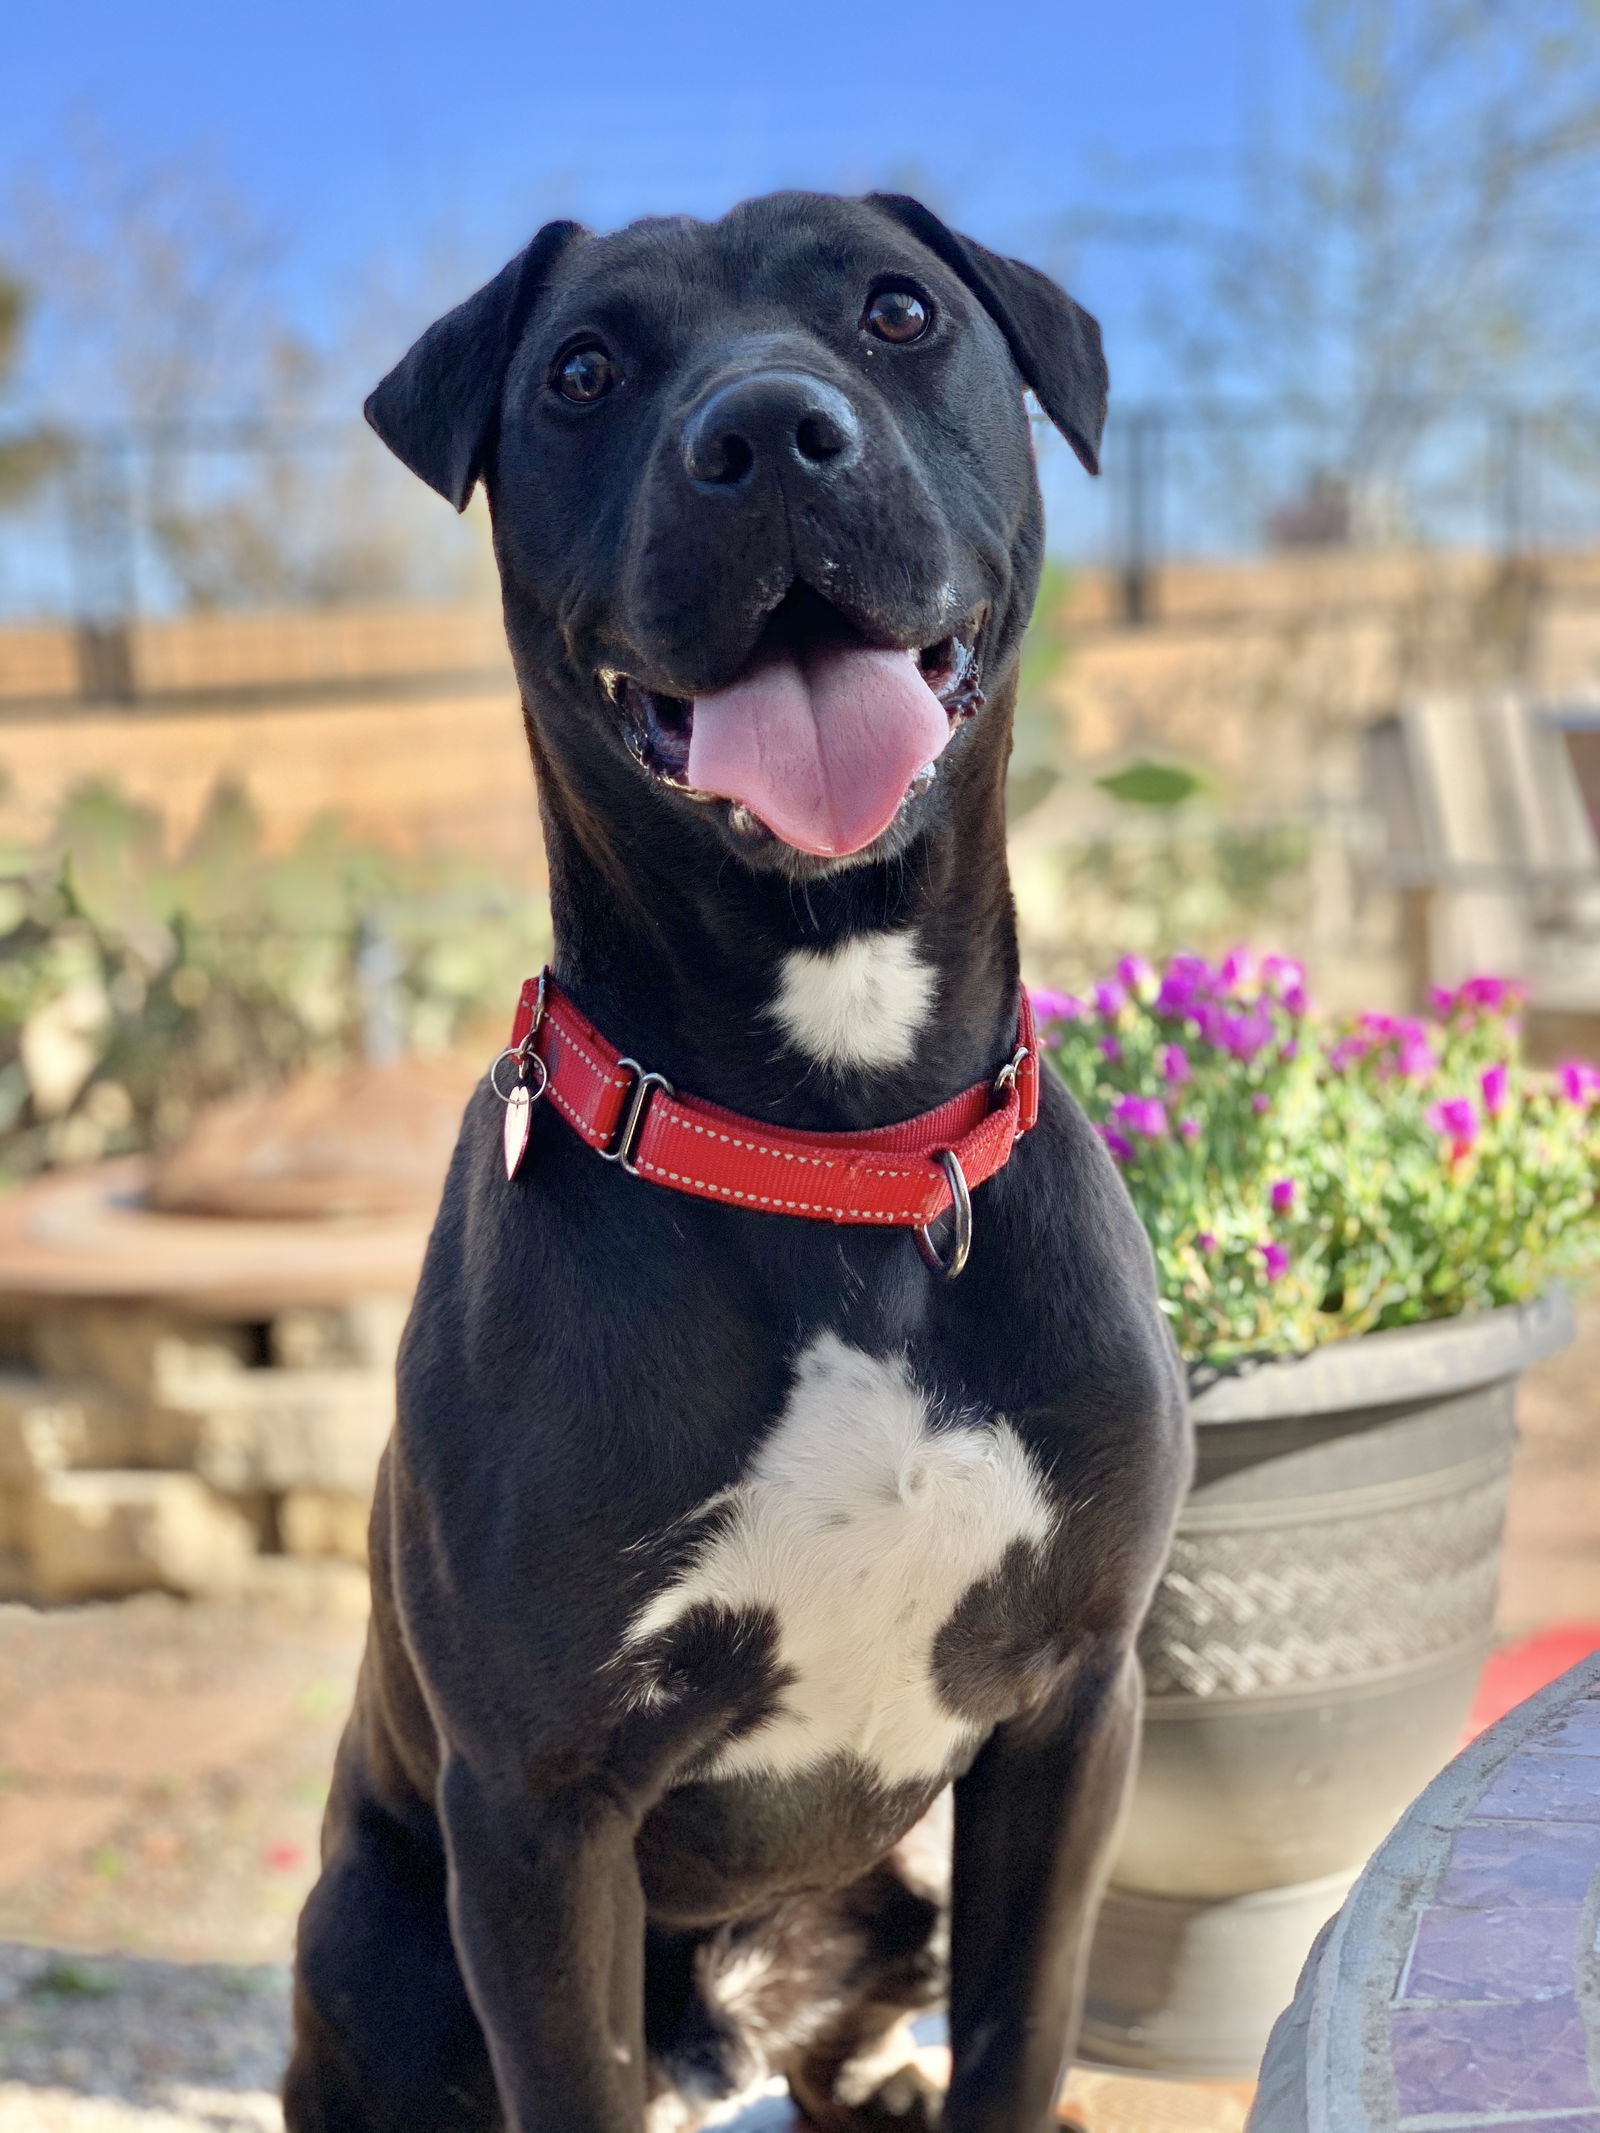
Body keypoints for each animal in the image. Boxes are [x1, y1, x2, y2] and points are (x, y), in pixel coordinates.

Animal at [285, 191, 1194, 2124]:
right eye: (581, 369)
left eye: (900, 310)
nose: (768, 433)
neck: (831, 1151)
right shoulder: (539, 1811)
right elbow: (568, 2075)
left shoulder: (1072, 1709)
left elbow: (1025, 2030)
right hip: (378, 1934)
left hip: (893, 1893)